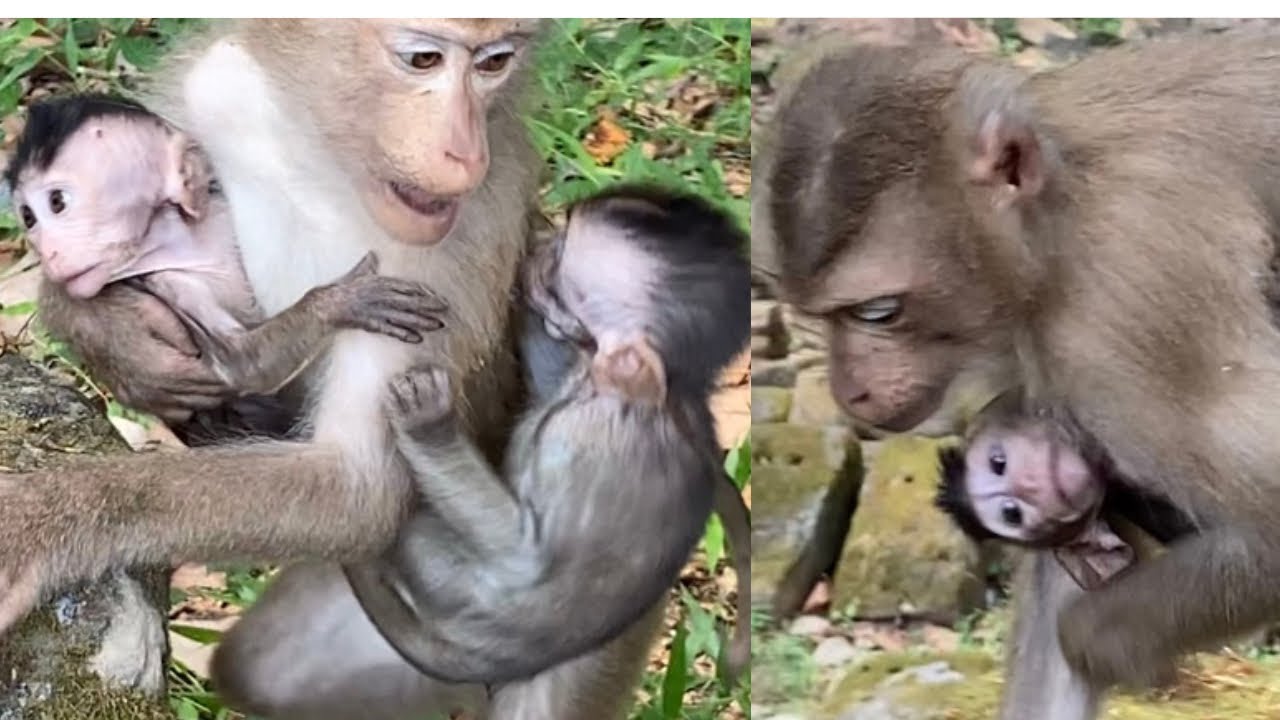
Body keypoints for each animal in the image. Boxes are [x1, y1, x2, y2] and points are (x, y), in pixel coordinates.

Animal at [5, 93, 448, 406]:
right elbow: (244, 361)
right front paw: (341, 302)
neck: (184, 239)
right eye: (28, 217)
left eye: (56, 203)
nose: (47, 251)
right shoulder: (172, 281)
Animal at [762, 30, 1280, 719]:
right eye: (816, 315)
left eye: (878, 312)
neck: (1063, 210)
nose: (851, 391)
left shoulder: (1124, 315)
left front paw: (1103, 645)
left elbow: (1269, 527)